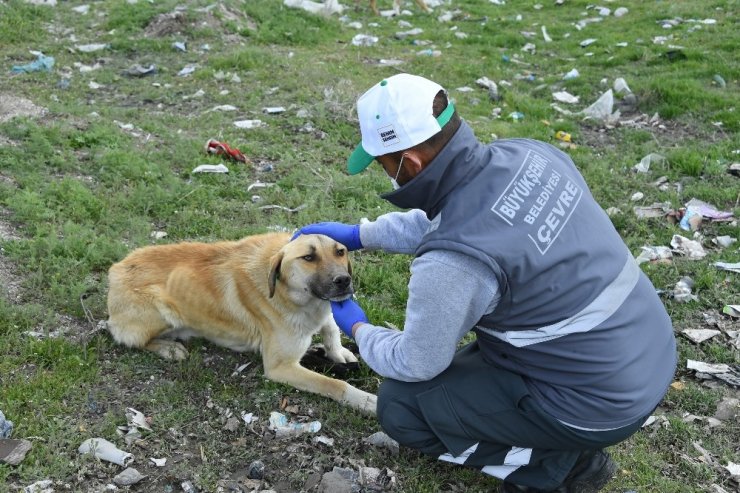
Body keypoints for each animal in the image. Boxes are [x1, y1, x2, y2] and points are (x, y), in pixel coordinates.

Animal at [105, 233, 376, 414]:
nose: (344, 280)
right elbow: (335, 384)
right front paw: (366, 400)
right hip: (161, 311)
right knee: (129, 338)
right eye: (308, 257)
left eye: (340, 252)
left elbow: (330, 326)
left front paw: (338, 352)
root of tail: (115, 270)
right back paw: (167, 348)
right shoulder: (280, 367)